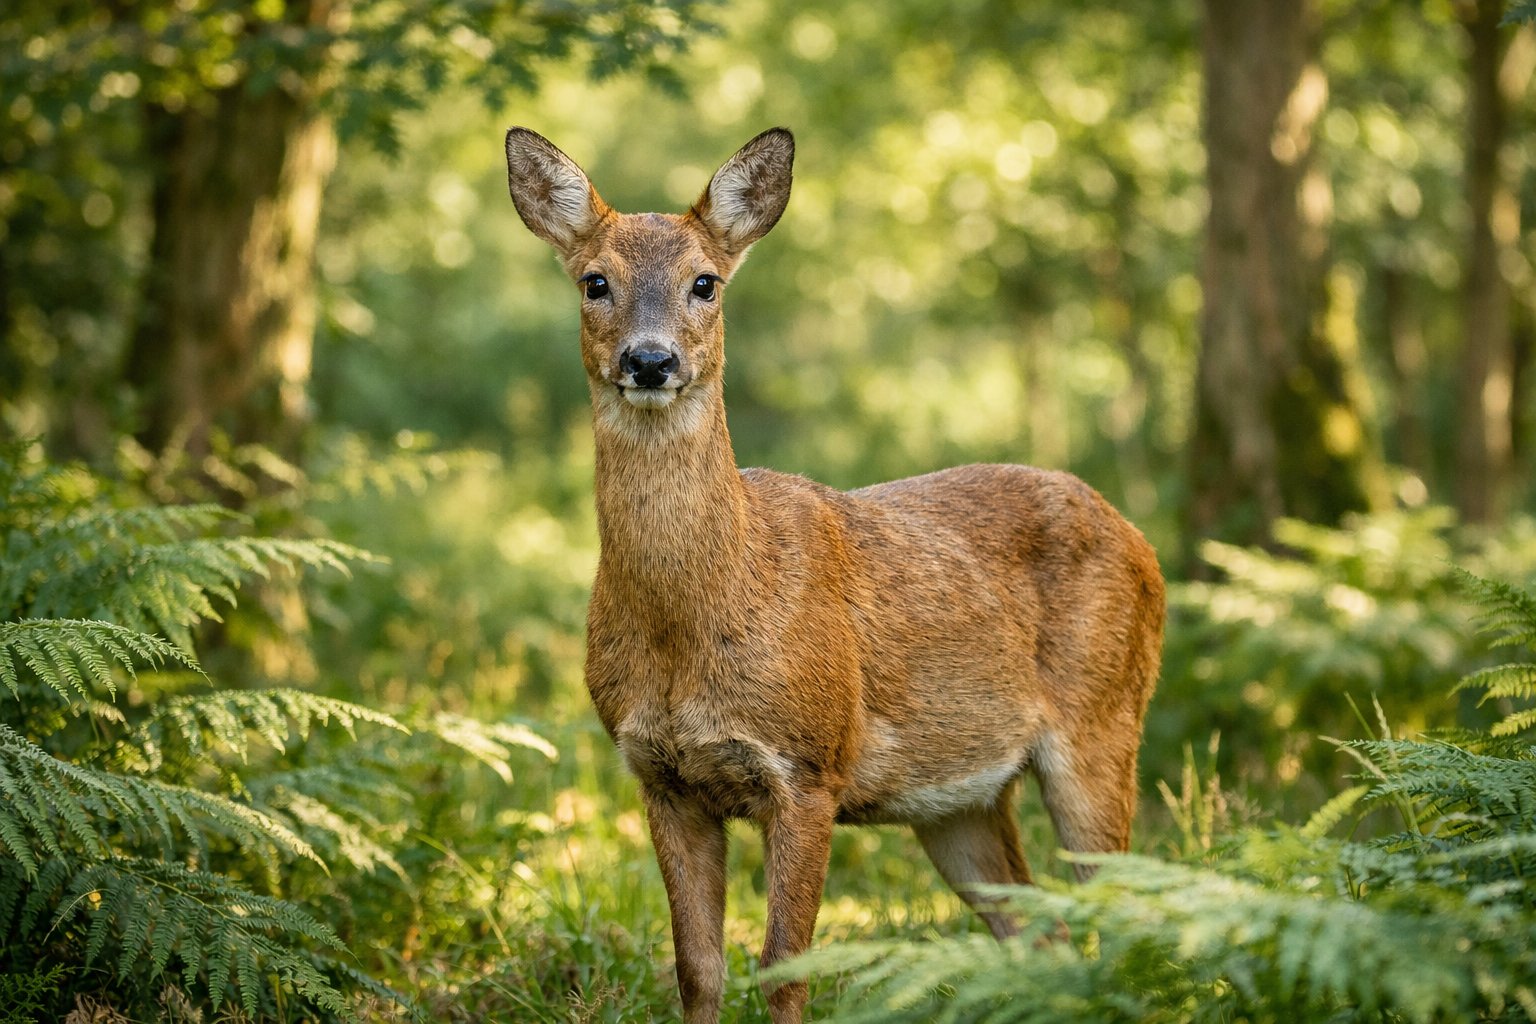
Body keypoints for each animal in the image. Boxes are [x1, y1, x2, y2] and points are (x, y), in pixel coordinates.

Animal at [503, 126, 1165, 1024]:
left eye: (705, 282)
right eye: (594, 281)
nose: (650, 360)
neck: (696, 619)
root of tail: (1140, 540)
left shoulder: (810, 765)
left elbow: (785, 964)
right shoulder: (661, 777)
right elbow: (696, 966)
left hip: (1104, 719)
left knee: (1126, 914)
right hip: (961, 799)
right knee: (1043, 931)